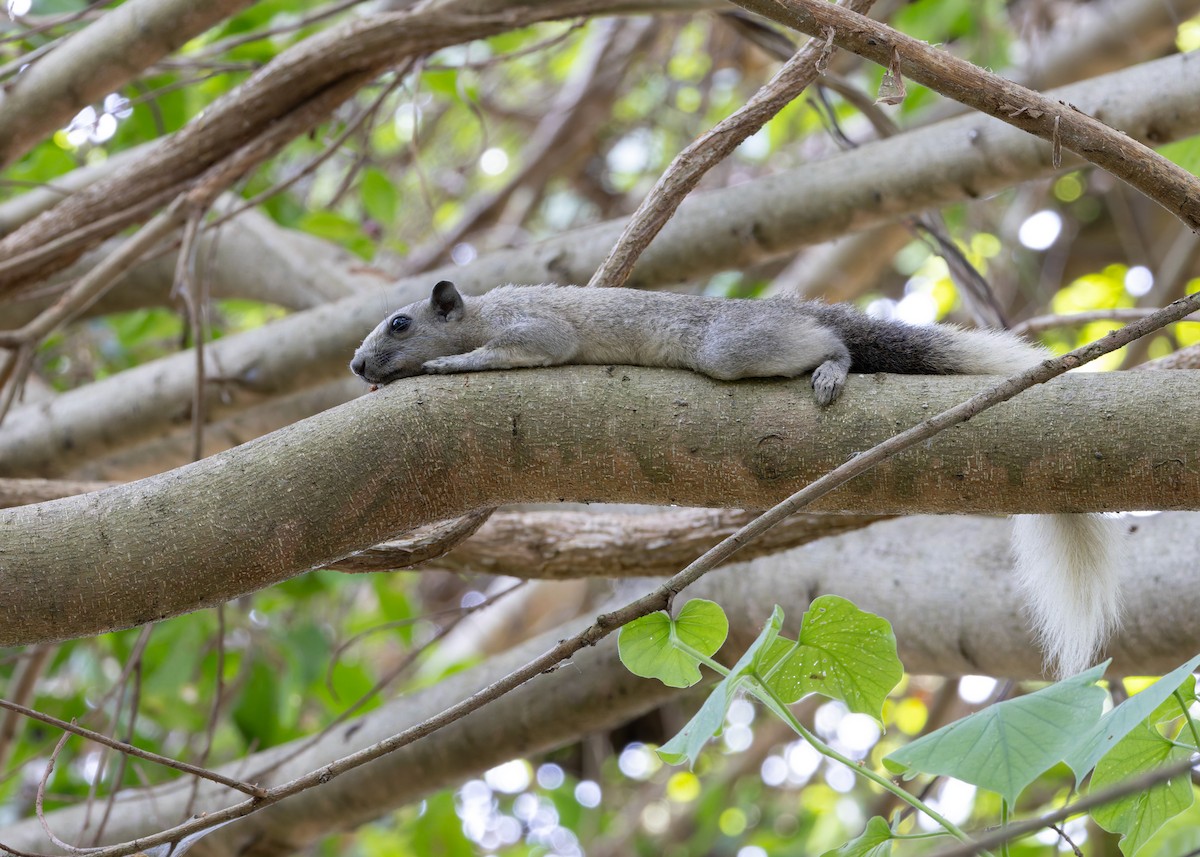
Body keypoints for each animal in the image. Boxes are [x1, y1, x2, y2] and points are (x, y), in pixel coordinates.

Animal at [351, 280, 1121, 677]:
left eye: (400, 324)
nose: (358, 366)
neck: (484, 308)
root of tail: (791, 306)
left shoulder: (535, 328)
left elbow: (521, 348)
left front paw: (446, 364)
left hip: (732, 346)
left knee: (828, 342)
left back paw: (832, 365)